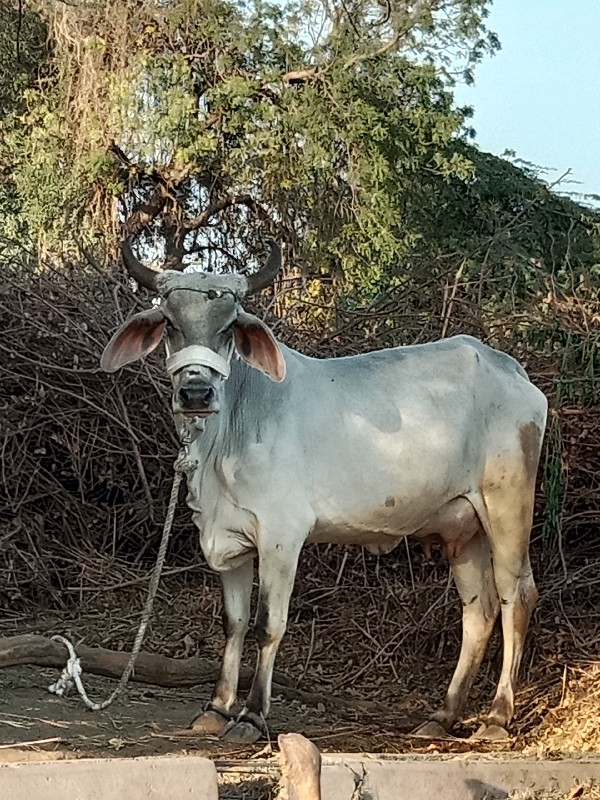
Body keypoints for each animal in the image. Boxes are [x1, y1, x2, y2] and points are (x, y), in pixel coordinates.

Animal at [102, 239, 548, 744]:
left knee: (517, 597)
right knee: (479, 611)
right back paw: (443, 715)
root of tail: (509, 369)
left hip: (507, 506)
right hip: (463, 529)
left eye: (230, 325)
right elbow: (234, 623)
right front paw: (216, 708)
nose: (196, 393)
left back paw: (496, 716)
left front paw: (251, 716)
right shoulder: (229, 541)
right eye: (171, 322)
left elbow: (267, 625)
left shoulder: (281, 536)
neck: (227, 432)